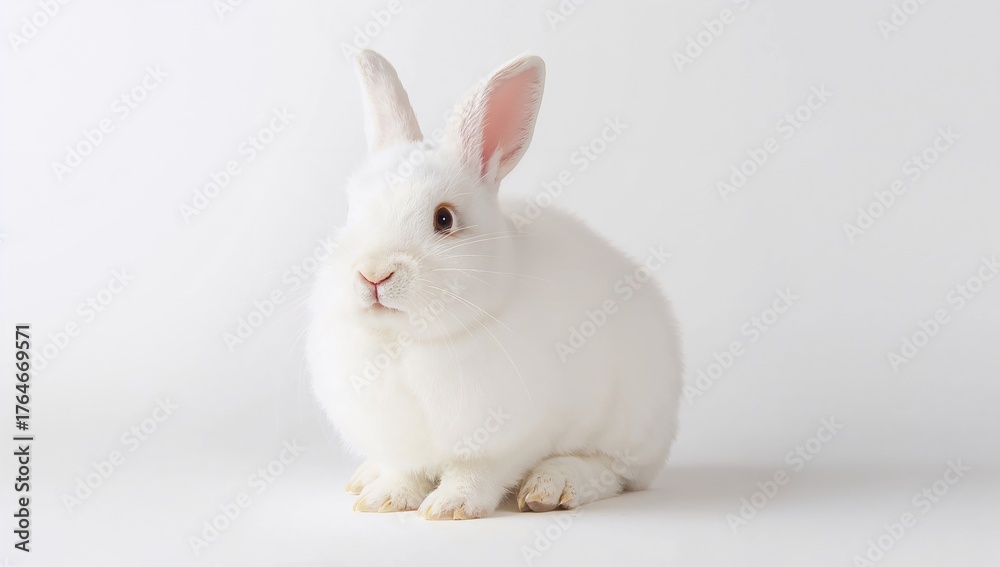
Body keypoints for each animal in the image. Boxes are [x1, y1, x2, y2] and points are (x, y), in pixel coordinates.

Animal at [308, 49, 683, 520]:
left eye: (444, 218)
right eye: (349, 211)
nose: (373, 274)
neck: (408, 342)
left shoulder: (509, 439)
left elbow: (477, 473)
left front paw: (450, 506)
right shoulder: (398, 441)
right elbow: (403, 471)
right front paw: (384, 499)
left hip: (631, 426)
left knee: (611, 472)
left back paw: (552, 487)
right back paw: (364, 478)